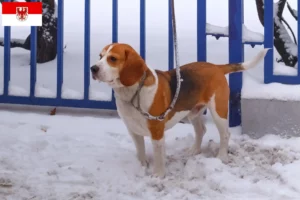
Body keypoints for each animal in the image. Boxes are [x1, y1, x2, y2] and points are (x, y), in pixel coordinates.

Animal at [90, 43, 268, 177]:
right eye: (100, 56)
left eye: (113, 59)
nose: (93, 68)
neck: (133, 92)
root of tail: (216, 67)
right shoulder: (133, 130)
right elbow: (140, 150)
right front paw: (142, 166)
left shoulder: (156, 130)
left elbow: (158, 156)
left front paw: (158, 175)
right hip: (193, 112)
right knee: (201, 130)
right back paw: (194, 150)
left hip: (219, 111)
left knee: (225, 134)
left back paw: (222, 156)